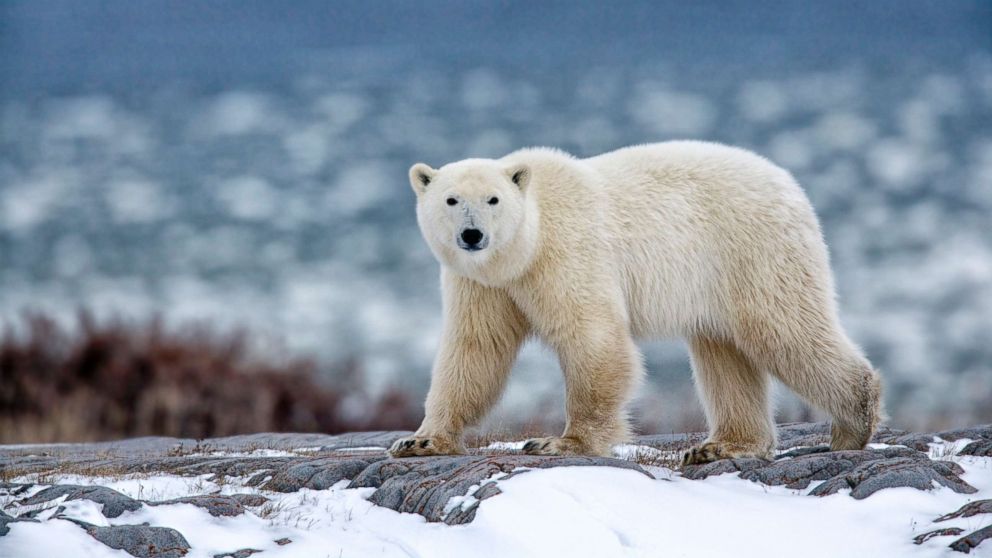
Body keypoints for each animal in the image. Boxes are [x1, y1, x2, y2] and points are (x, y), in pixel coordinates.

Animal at [388, 140, 884, 464]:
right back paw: (721, 445)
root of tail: (789, 184)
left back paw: (853, 423)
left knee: (784, 330)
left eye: (493, 199)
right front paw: (420, 441)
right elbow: (475, 350)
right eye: (451, 200)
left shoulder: (567, 254)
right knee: (724, 353)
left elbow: (592, 338)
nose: (473, 235)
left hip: (753, 251)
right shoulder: (482, 284)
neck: (526, 245)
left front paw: (560, 443)